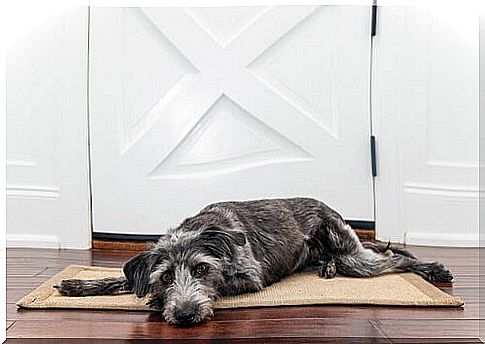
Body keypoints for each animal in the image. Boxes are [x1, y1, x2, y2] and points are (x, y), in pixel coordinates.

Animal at [54, 199, 452, 326]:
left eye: (201, 269)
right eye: (166, 276)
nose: (185, 315)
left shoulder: (251, 277)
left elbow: (224, 284)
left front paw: (155, 303)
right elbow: (118, 279)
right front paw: (76, 285)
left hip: (355, 257)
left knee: (394, 258)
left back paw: (432, 269)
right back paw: (325, 268)